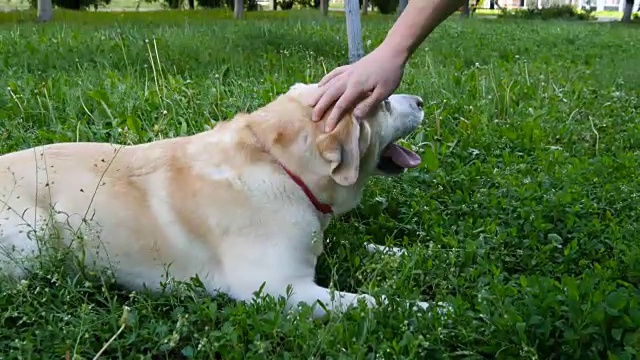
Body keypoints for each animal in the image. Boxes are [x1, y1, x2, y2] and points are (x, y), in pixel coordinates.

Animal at [0, 82, 444, 318]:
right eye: (383, 104)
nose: (422, 100)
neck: (279, 164)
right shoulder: (283, 288)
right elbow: (371, 301)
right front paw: (434, 309)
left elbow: (356, 246)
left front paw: (409, 253)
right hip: (38, 236)